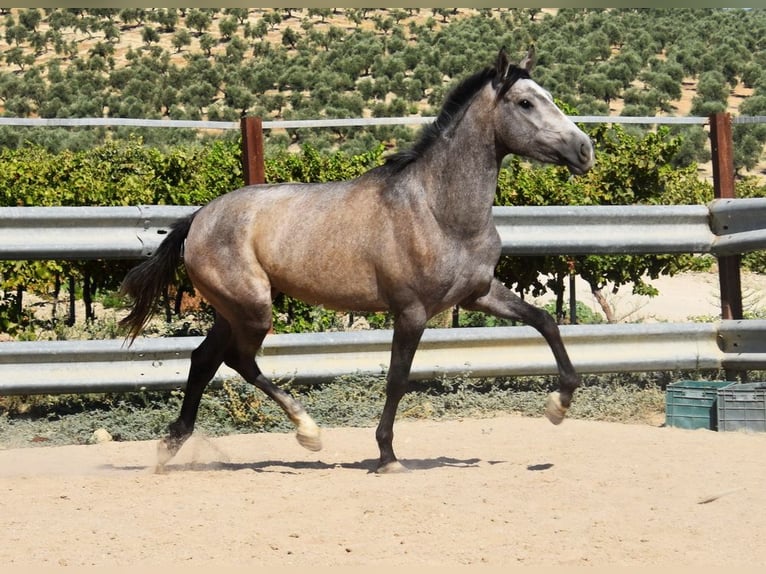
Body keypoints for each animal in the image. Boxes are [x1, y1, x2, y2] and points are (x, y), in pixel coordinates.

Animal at [123, 48, 596, 472]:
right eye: (525, 102)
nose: (584, 150)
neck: (437, 210)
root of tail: (198, 218)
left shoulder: (479, 293)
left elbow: (545, 321)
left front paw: (559, 405)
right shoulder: (411, 311)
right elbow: (397, 379)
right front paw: (387, 456)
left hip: (232, 310)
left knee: (204, 360)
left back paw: (171, 445)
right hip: (253, 309)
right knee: (239, 360)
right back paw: (308, 431)